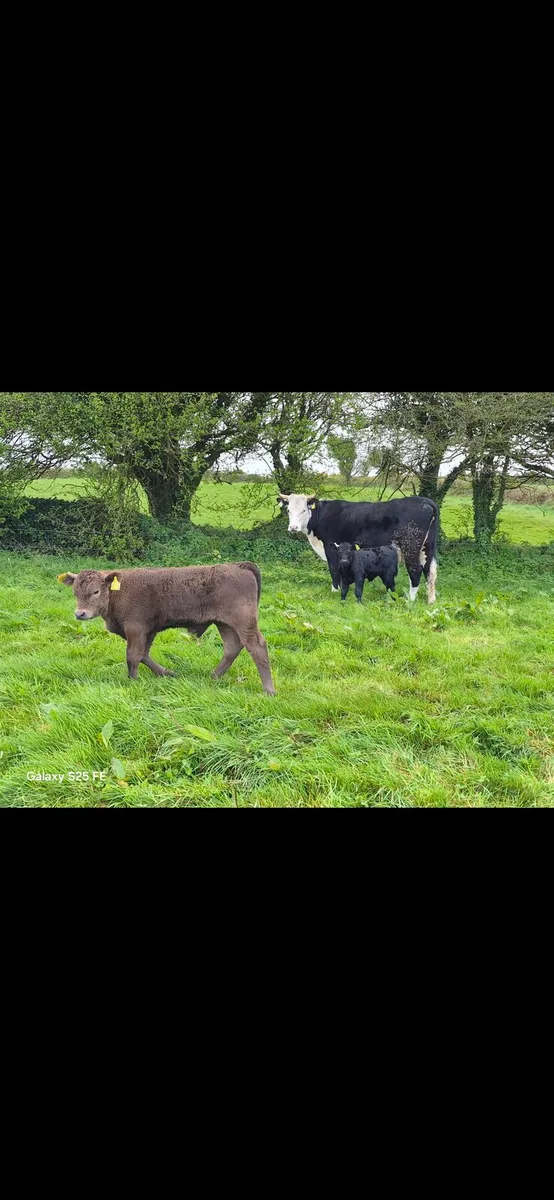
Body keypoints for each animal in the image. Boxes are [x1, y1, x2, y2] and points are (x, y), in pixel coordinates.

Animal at [58, 562, 275, 694]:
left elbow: (133, 656)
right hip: (225, 624)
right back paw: (213, 677)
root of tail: (239, 565)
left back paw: (268, 690)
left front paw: (133, 681)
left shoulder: (135, 629)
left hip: (243, 622)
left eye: (95, 591)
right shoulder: (148, 630)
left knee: (256, 647)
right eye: (75, 592)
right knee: (232, 648)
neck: (118, 593)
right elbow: (144, 655)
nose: (80, 614)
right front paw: (168, 673)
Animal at [278, 493, 439, 603]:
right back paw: (430, 601)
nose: (293, 527)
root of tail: (425, 501)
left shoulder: (331, 548)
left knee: (415, 570)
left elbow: (334, 570)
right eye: (288, 510)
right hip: (427, 547)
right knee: (430, 571)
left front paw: (334, 591)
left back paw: (410, 599)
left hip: (411, 545)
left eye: (304, 510)